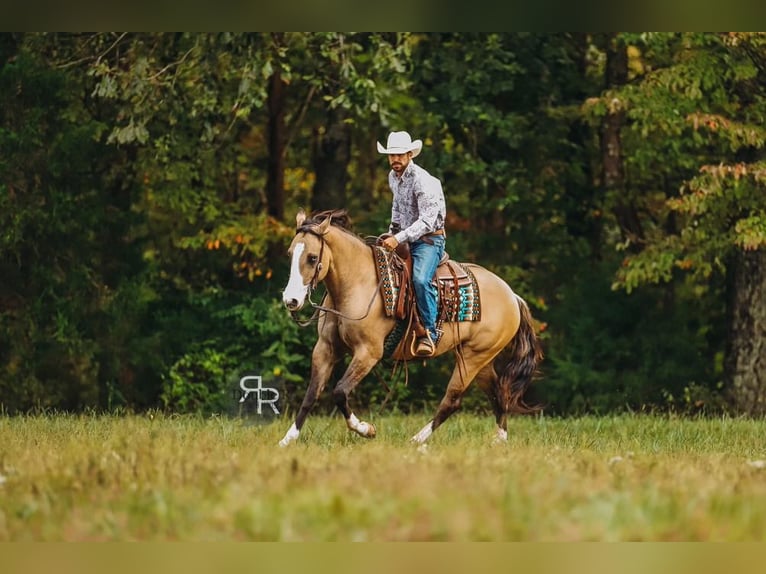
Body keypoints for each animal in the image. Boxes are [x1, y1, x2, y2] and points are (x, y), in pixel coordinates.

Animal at [278, 209, 542, 446]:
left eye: (312, 257)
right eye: (290, 254)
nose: (291, 300)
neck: (358, 283)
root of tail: (512, 296)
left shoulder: (368, 353)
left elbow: (340, 392)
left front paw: (366, 429)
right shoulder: (326, 348)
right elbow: (311, 395)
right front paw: (287, 440)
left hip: (473, 357)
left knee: (452, 400)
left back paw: (416, 439)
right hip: (482, 359)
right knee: (498, 393)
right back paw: (499, 439)